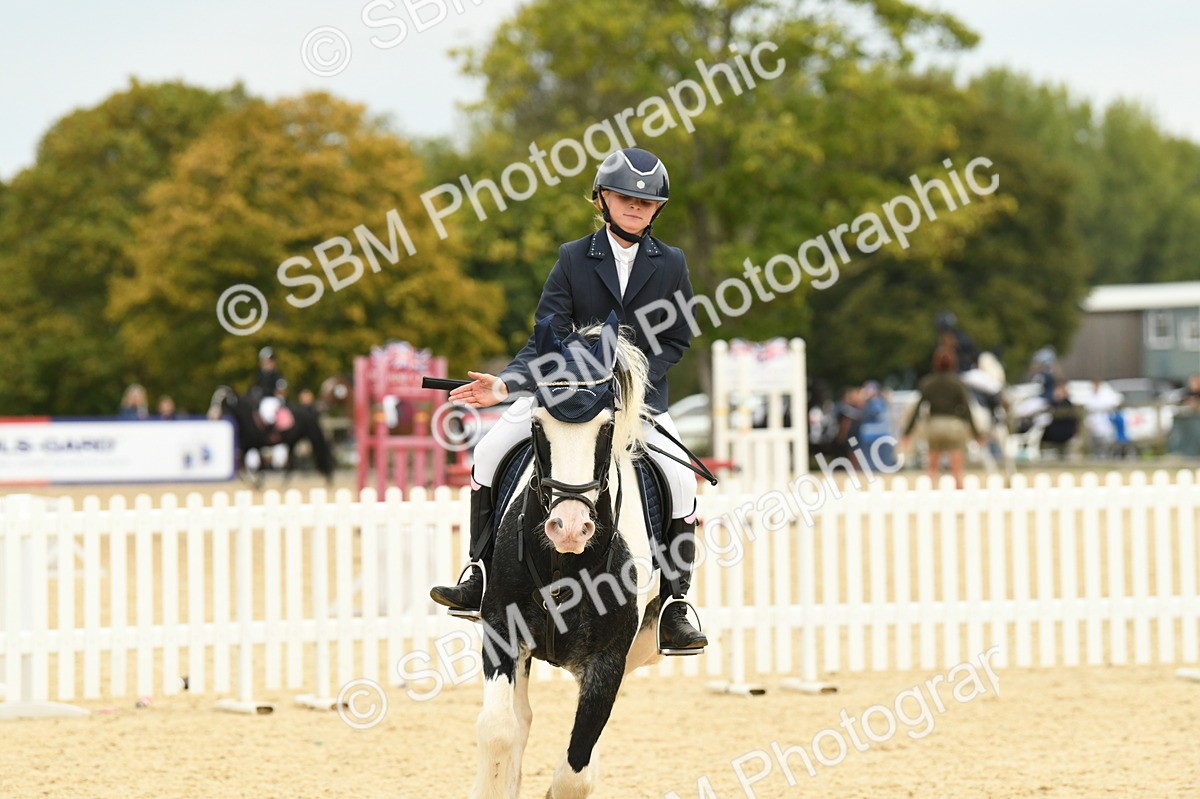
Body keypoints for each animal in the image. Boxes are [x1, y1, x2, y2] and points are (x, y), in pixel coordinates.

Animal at [469, 314, 675, 799]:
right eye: (537, 424)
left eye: (606, 427)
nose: (568, 528)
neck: (566, 563)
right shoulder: (501, 626)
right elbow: (499, 730)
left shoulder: (609, 659)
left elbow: (575, 772)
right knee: (521, 720)